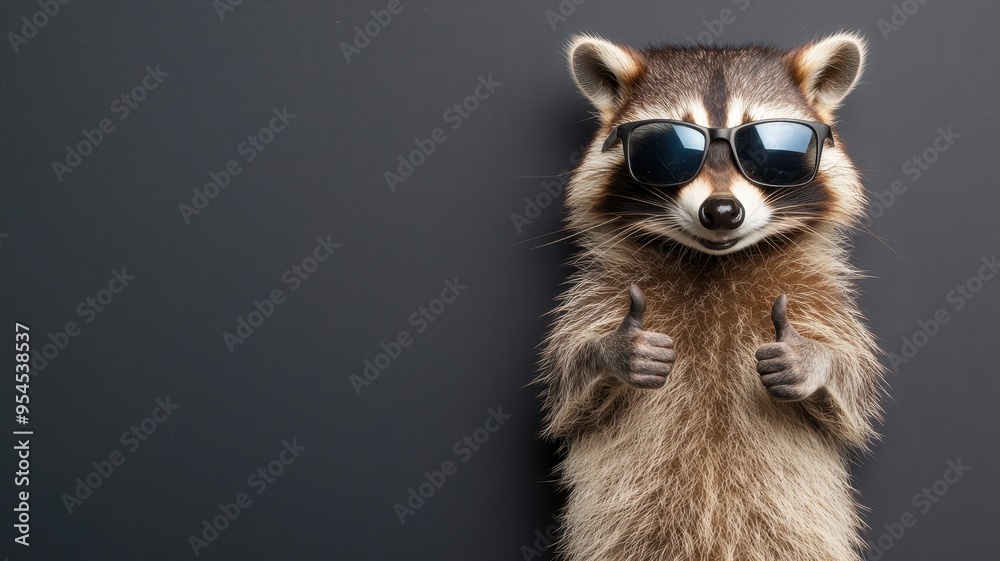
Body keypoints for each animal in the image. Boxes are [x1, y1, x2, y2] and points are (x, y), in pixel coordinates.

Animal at [539, 33, 885, 561]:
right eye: (666, 150)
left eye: (768, 151)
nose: (722, 210)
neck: (714, 264)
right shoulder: (598, 290)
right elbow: (566, 396)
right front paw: (614, 350)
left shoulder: (822, 295)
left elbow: (853, 396)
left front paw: (812, 360)